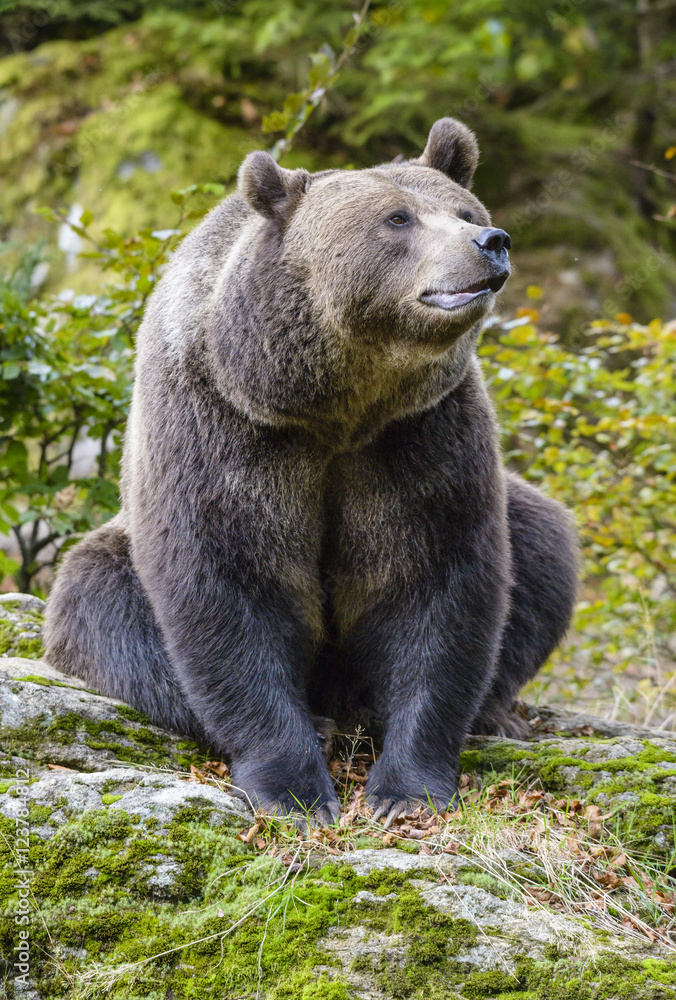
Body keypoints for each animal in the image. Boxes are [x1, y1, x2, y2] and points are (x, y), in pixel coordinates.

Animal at [44, 118, 578, 826]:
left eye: (467, 213)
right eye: (397, 218)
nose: (491, 243)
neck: (333, 403)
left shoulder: (418, 436)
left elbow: (434, 585)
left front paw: (405, 789)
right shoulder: (227, 430)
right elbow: (231, 588)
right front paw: (295, 787)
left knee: (543, 547)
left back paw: (489, 712)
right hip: (116, 554)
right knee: (105, 604)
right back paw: (323, 723)